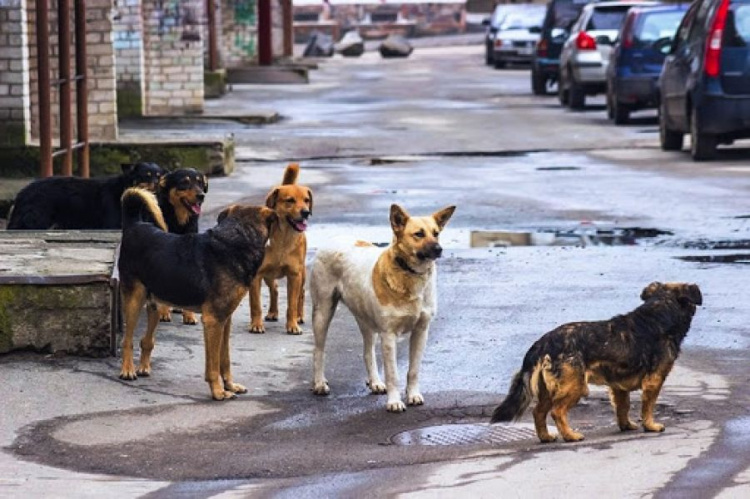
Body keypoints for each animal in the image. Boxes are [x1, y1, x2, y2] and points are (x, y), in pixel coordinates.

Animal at [7, 162, 164, 230]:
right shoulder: (112, 224)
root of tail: (22, 193)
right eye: (146, 175)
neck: (124, 188)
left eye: (158, 176)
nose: (157, 184)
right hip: (37, 220)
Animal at [119, 188, 278, 402]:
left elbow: (225, 359)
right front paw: (218, 392)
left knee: (147, 340)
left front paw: (230, 385)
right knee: (127, 340)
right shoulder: (213, 321)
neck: (236, 240)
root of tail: (134, 224)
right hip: (134, 300)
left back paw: (143, 367)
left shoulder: (225, 320)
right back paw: (127, 370)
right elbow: (213, 365)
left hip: (155, 304)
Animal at [250, 164, 314, 336]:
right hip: (268, 275)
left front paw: (292, 325)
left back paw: (299, 316)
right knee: (275, 289)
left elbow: (292, 304)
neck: (283, 238)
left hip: (302, 274)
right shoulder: (256, 275)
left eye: (306, 200)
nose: (306, 212)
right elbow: (256, 305)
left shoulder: (294, 275)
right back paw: (272, 312)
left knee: (301, 294)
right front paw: (256, 324)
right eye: (290, 200)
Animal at [308, 204, 456, 414]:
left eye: (436, 233)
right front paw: (394, 402)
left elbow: (413, 370)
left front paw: (413, 395)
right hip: (323, 311)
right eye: (418, 234)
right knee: (318, 350)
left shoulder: (421, 331)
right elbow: (393, 374)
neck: (409, 274)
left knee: (367, 352)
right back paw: (320, 383)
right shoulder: (389, 335)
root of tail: (334, 239)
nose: (439, 249)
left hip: (366, 320)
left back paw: (375, 382)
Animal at [494, 284, 704, 444]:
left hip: (548, 390)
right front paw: (650, 425)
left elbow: (623, 407)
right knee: (557, 412)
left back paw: (545, 437)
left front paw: (626, 425)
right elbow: (648, 406)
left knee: (538, 412)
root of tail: (543, 342)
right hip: (575, 386)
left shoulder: (619, 386)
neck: (659, 313)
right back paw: (570, 436)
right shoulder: (654, 380)